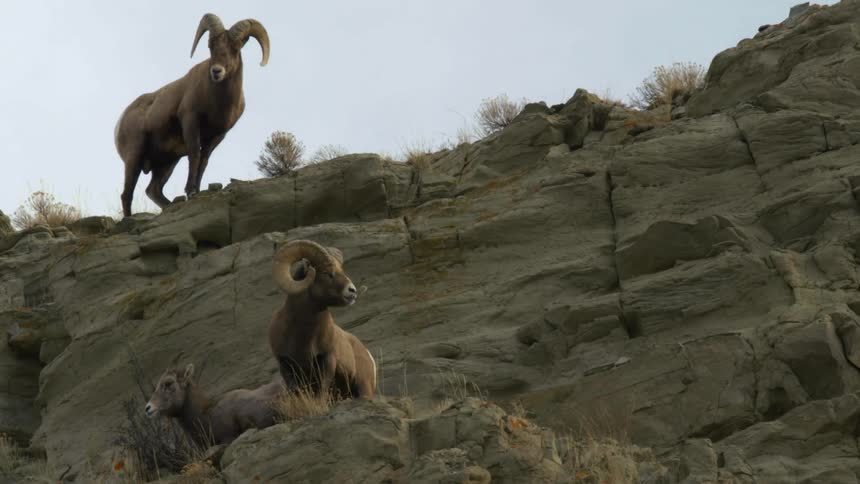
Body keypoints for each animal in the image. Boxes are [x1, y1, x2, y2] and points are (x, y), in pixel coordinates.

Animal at [115, 13, 270, 217]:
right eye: (211, 46)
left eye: (235, 48)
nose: (216, 71)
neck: (217, 101)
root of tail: (121, 122)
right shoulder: (191, 123)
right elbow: (194, 155)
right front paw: (190, 191)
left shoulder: (217, 136)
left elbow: (203, 161)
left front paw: (196, 190)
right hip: (134, 158)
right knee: (127, 194)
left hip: (167, 164)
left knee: (153, 190)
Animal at [269, 240, 377, 400]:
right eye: (326, 273)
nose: (352, 291)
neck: (302, 336)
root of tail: (367, 353)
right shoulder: (285, 365)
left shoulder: (327, 360)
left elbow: (322, 392)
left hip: (364, 388)